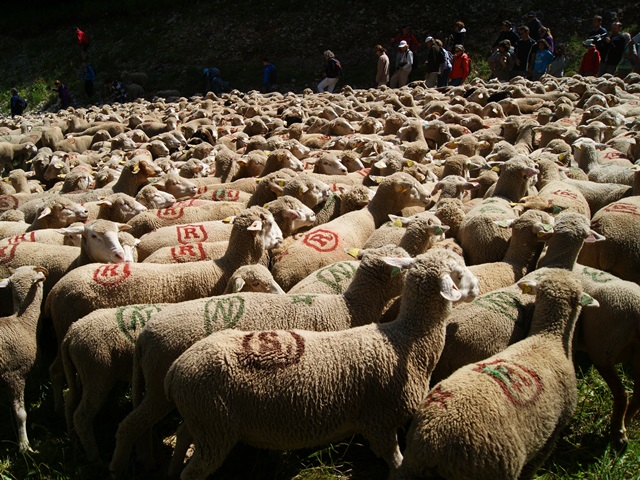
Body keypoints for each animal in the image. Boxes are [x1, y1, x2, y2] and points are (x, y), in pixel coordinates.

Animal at [162, 249, 478, 478]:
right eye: (458, 273)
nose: (477, 288)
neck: (408, 340)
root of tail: (177, 368)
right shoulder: (381, 422)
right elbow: (397, 465)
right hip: (214, 428)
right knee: (193, 472)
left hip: (202, 420)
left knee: (182, 435)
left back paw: (171, 466)